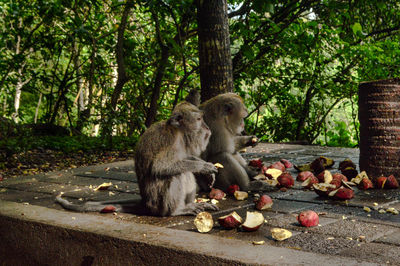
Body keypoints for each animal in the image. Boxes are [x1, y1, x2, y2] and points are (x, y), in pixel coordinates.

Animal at [55, 90, 219, 216]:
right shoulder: (169, 140)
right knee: (178, 173)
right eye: (199, 119)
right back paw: (178, 210)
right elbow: (160, 167)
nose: (207, 128)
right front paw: (203, 167)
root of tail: (146, 203)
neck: (178, 131)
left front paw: (205, 166)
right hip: (158, 203)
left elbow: (185, 157)